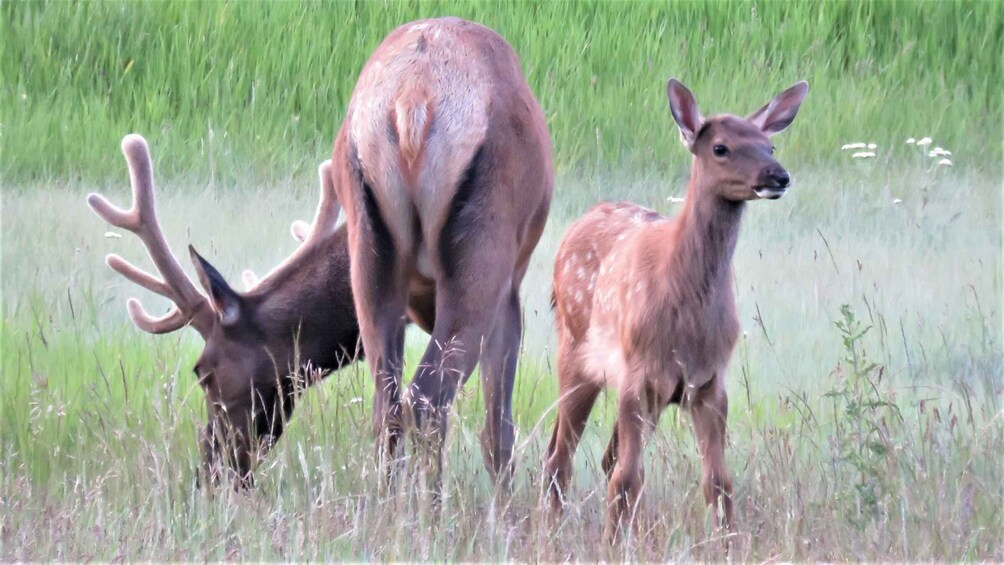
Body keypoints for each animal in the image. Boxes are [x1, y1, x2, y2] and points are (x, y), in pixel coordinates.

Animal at [333, 17, 558, 485]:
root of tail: (413, 99)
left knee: (388, 406)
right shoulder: (509, 291)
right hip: (480, 258)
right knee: (428, 400)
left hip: (369, 251)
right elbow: (499, 429)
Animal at [546, 77, 803, 541]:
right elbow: (626, 479)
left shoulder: (708, 383)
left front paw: (726, 543)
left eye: (769, 145)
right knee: (561, 459)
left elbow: (718, 482)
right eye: (720, 147)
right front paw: (613, 546)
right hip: (576, 355)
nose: (778, 176)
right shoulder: (639, 376)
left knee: (600, 457)